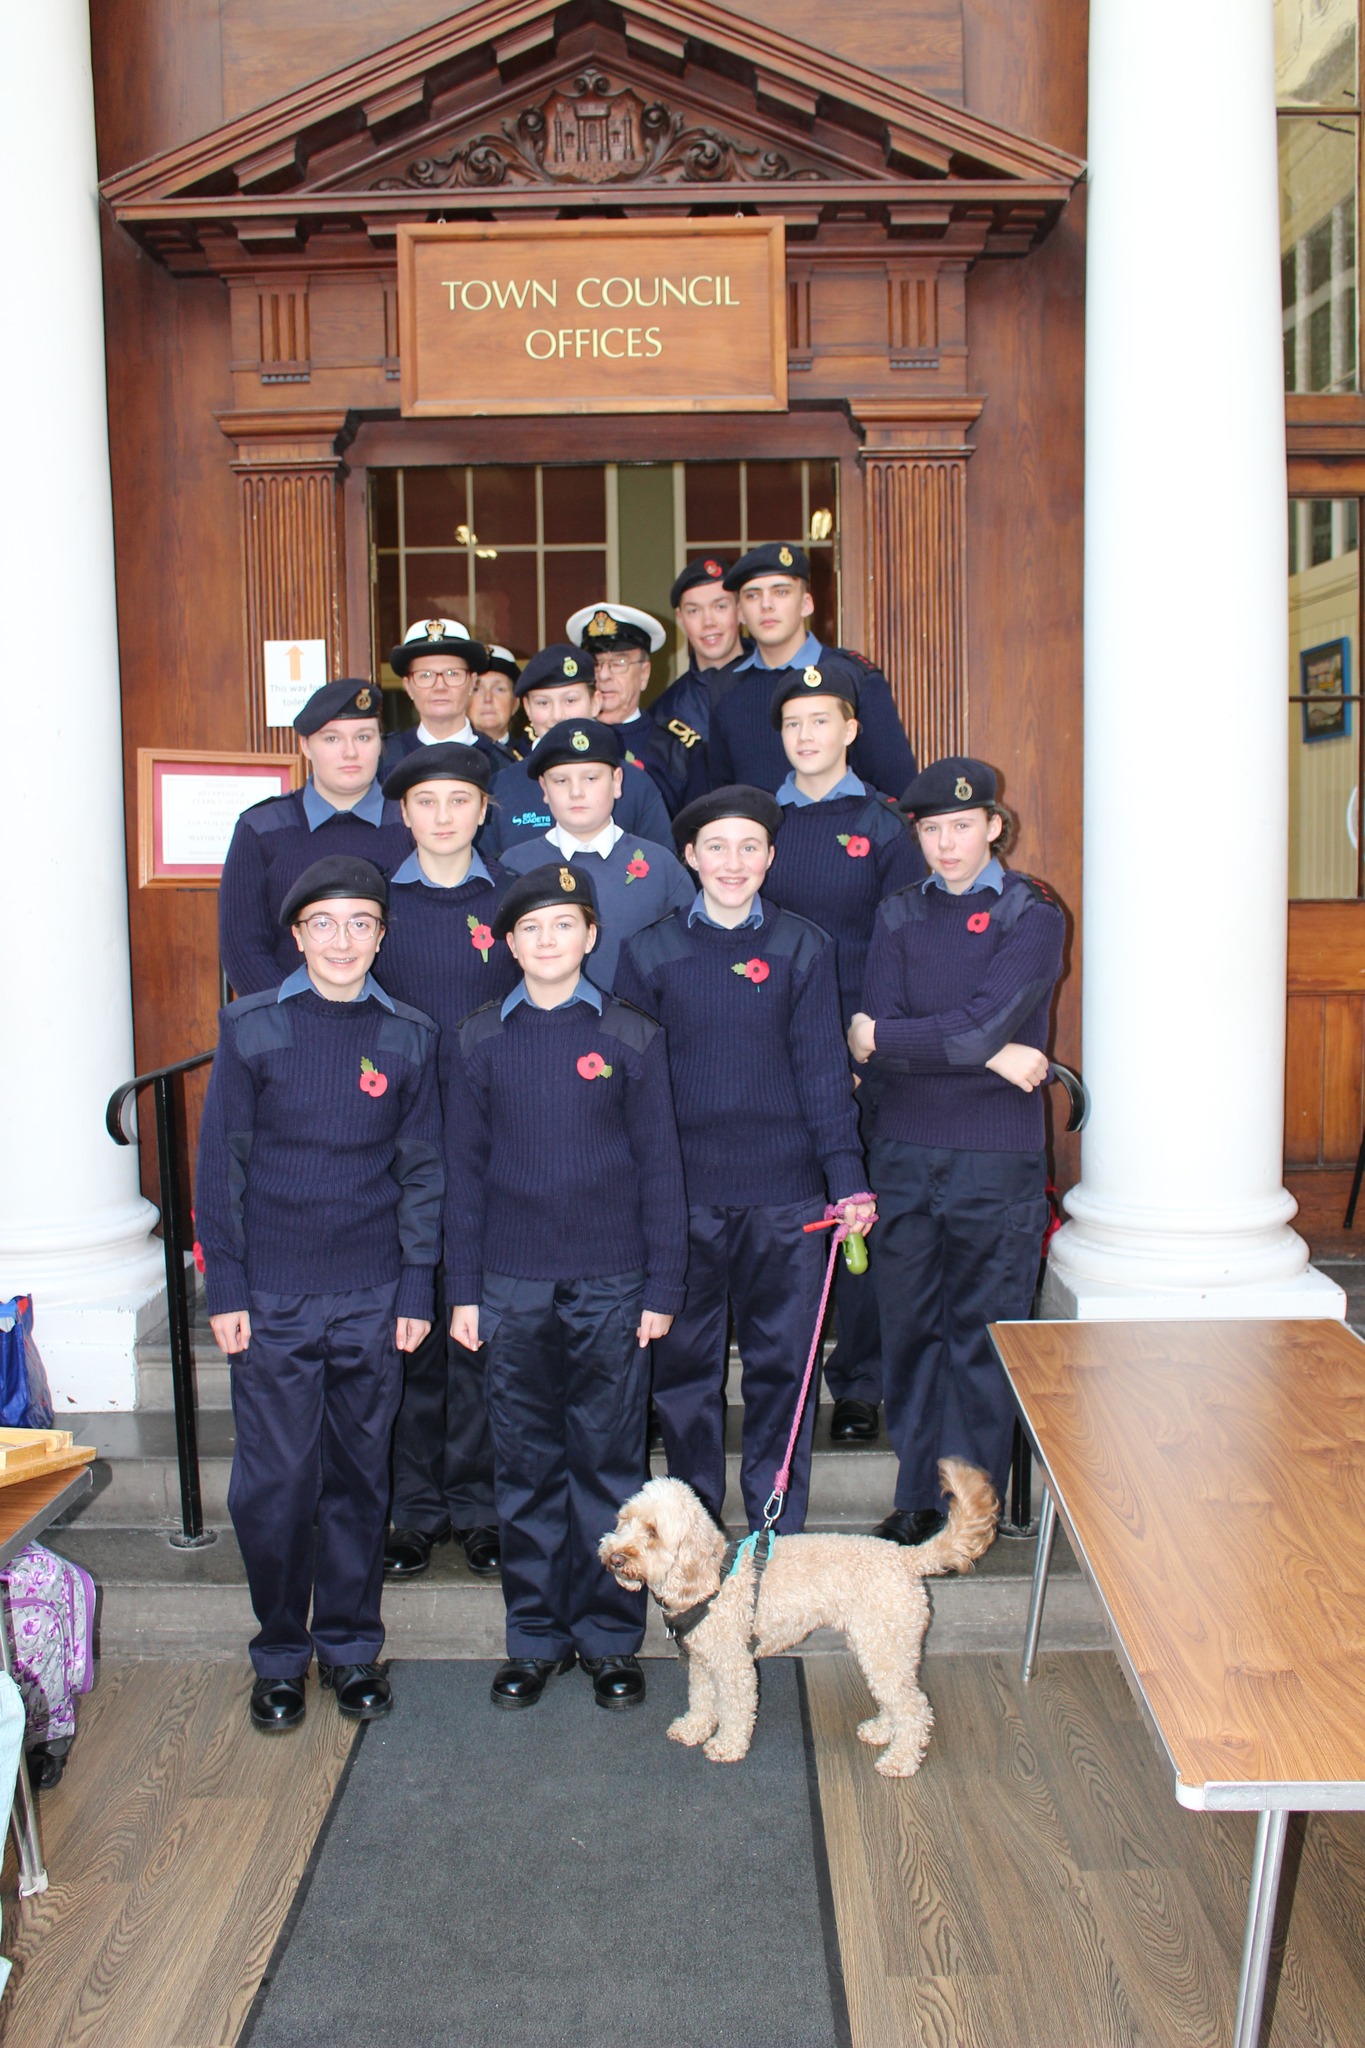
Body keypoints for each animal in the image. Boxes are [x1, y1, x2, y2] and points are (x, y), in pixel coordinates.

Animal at [601, 1458, 998, 1777]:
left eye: (653, 1532)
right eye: (624, 1521)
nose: (614, 1557)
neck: (712, 1578)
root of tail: (906, 1558)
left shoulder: (734, 1665)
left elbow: (735, 1709)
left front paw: (727, 1745)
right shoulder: (702, 1661)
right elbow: (700, 1700)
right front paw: (693, 1729)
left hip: (885, 1649)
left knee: (915, 1708)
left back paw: (900, 1760)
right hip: (879, 1646)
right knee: (898, 1699)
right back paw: (883, 1731)